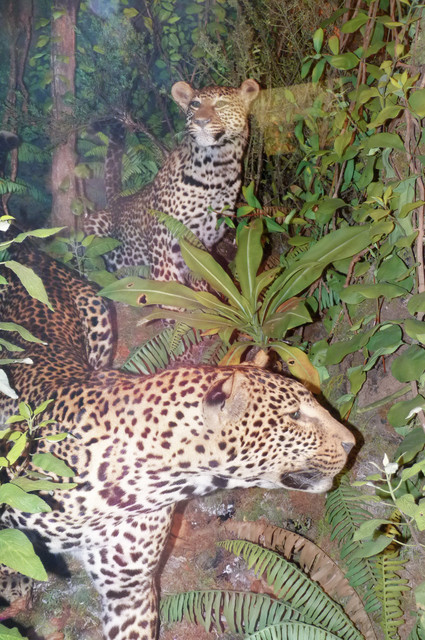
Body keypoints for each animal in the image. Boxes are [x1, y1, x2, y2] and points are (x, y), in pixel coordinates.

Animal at [84, 79, 260, 283]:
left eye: (222, 104)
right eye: (195, 104)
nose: (200, 121)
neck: (215, 168)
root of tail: (116, 201)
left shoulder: (201, 243)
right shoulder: (165, 242)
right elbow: (167, 283)